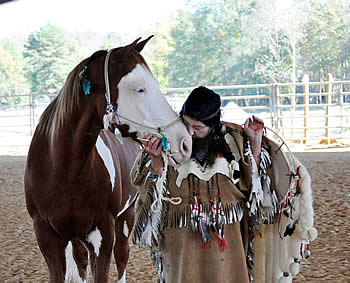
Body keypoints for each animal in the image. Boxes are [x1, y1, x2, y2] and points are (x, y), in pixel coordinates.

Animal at [23, 36, 191, 282]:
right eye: (139, 88)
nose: (185, 141)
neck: (63, 170)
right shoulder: (47, 236)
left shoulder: (103, 232)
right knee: (81, 261)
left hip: (125, 219)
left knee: (121, 258)